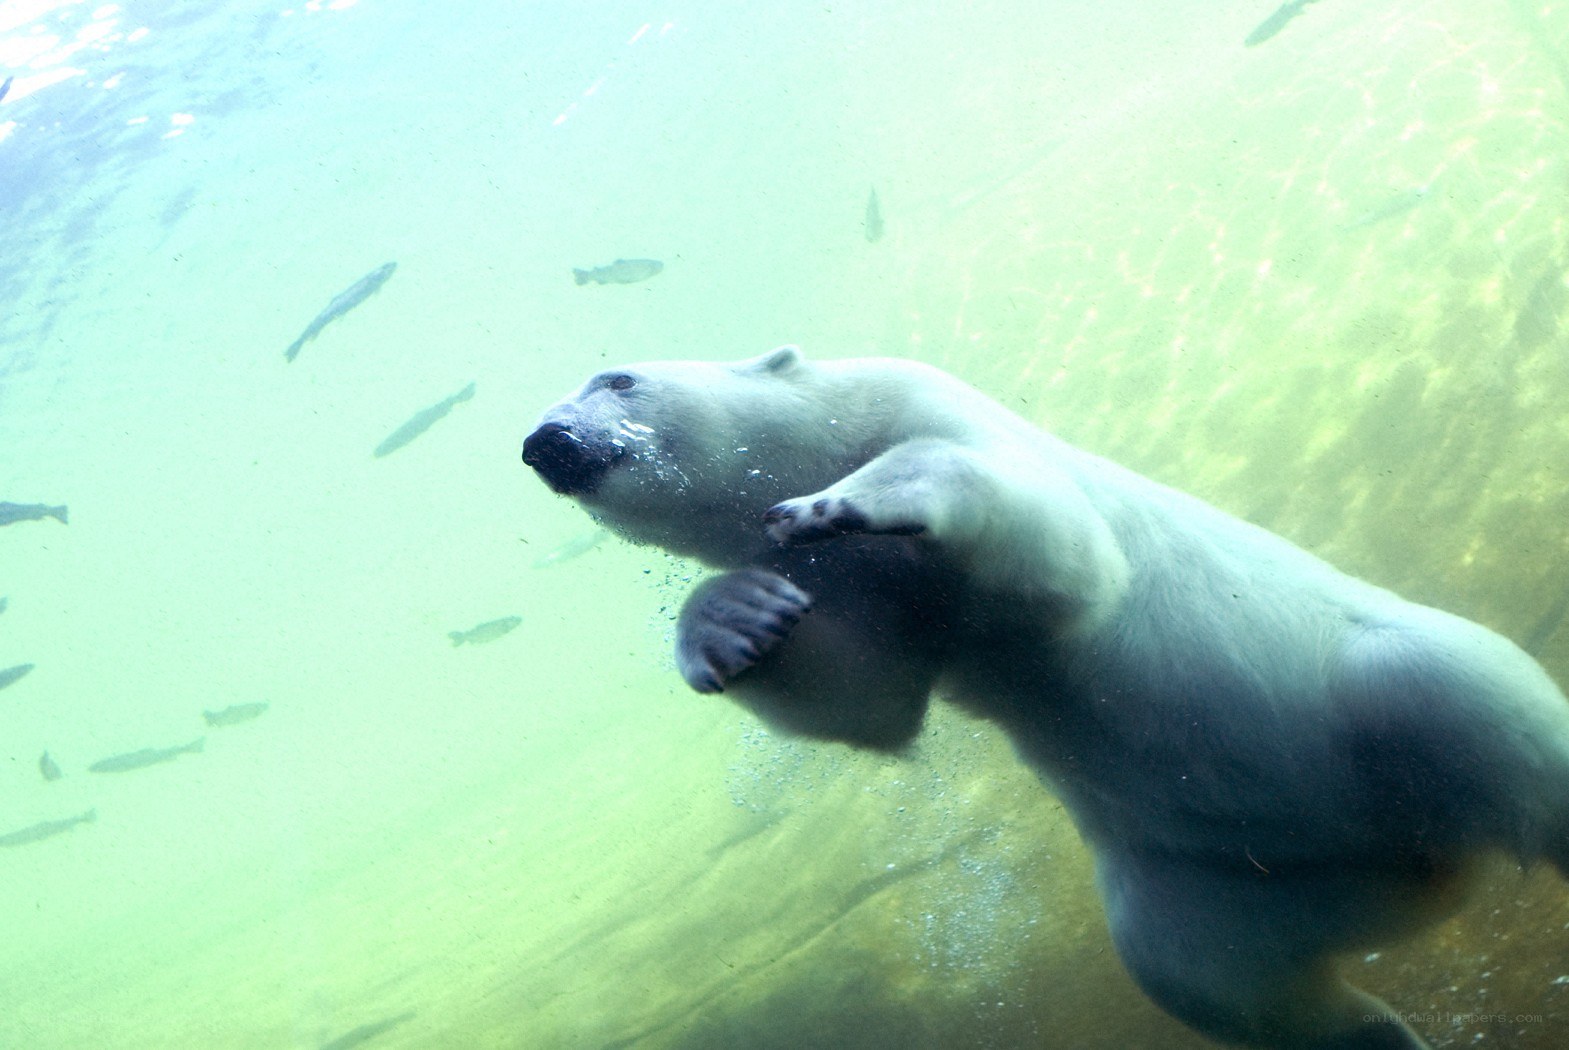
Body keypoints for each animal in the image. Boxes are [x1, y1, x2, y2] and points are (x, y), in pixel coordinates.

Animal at [521, 345, 1569, 1049]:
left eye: (617, 378)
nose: (544, 441)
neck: (827, 433)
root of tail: (1419, 856)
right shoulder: (869, 598)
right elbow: (863, 696)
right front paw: (731, 621)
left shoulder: (927, 406)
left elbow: (1051, 549)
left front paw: (843, 499)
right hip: (1219, 879)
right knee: (1207, 976)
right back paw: (1382, 1030)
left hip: (1380, 683)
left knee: (1498, 734)